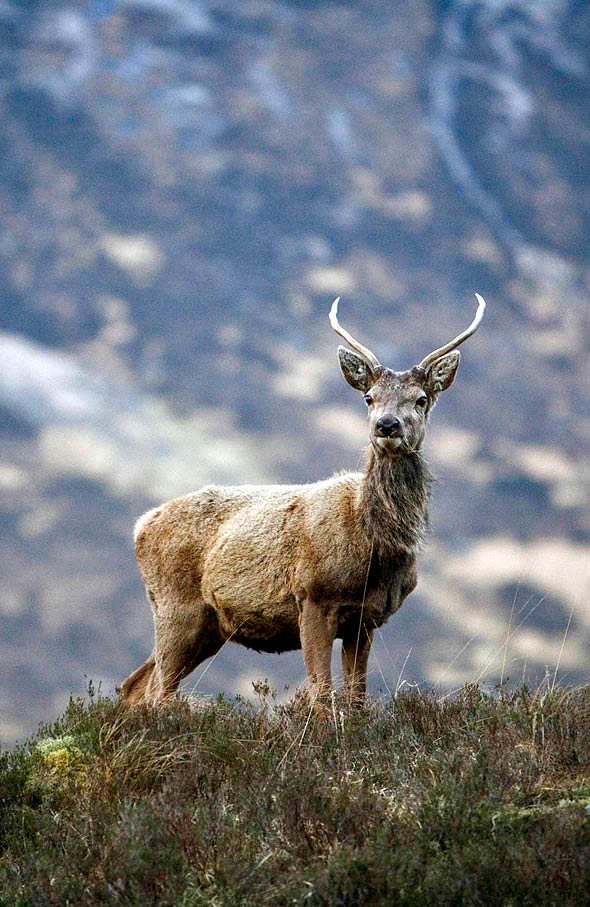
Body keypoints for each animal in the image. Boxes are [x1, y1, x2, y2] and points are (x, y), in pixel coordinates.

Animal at [120, 294, 485, 707]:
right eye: (369, 397)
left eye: (422, 399)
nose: (387, 425)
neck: (373, 549)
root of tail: (142, 525)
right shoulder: (312, 596)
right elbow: (322, 696)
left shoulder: (366, 619)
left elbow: (356, 698)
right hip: (176, 605)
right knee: (157, 691)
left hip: (209, 626)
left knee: (135, 685)